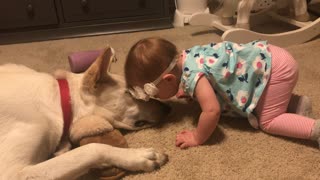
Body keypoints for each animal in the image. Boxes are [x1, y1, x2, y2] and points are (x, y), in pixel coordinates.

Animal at [0, 46, 170, 180]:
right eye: (129, 93)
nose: (168, 108)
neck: (60, 102)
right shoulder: (13, 173)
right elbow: (92, 149)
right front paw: (138, 156)